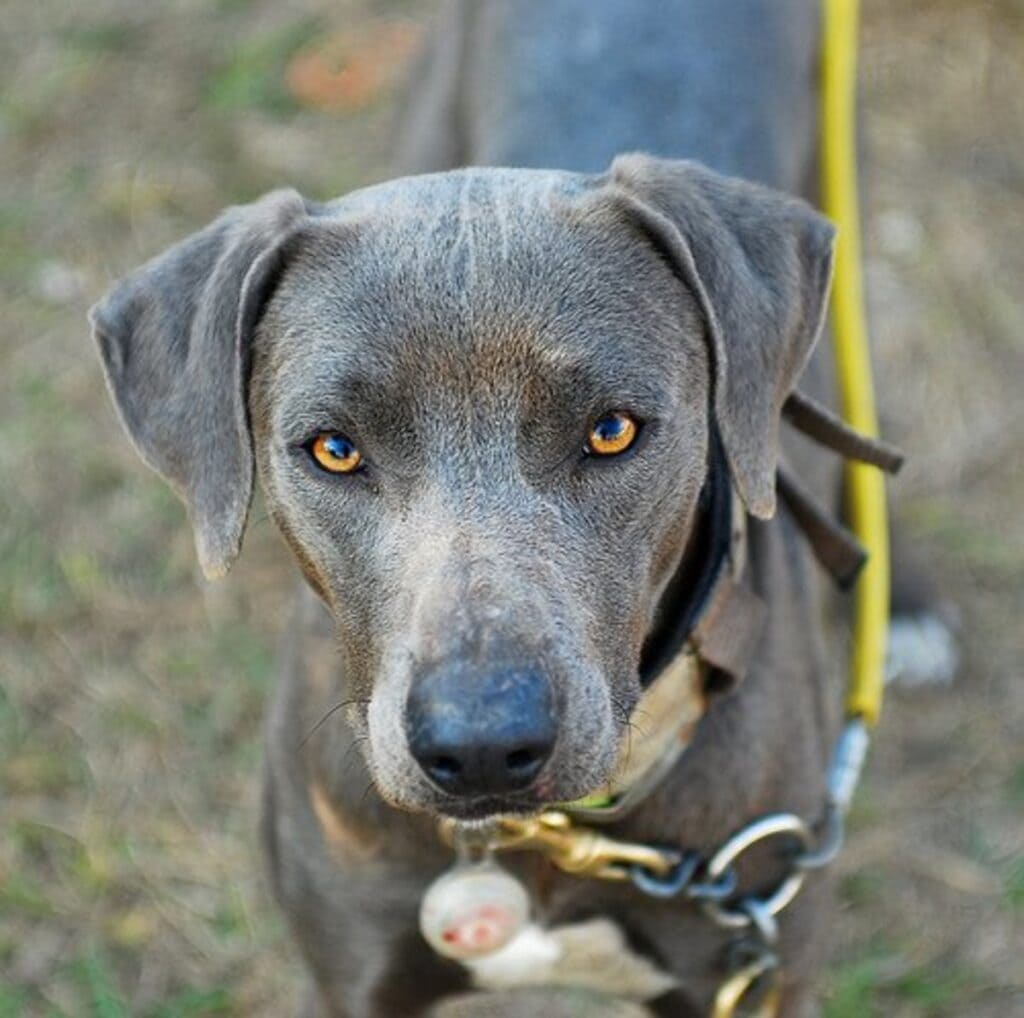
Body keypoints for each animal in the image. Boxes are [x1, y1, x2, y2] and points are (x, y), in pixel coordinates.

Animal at [92, 1, 872, 1015]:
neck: (546, 839)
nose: (483, 747)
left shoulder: (759, 974)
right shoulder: (352, 972)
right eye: (334, 449)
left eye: (613, 430)